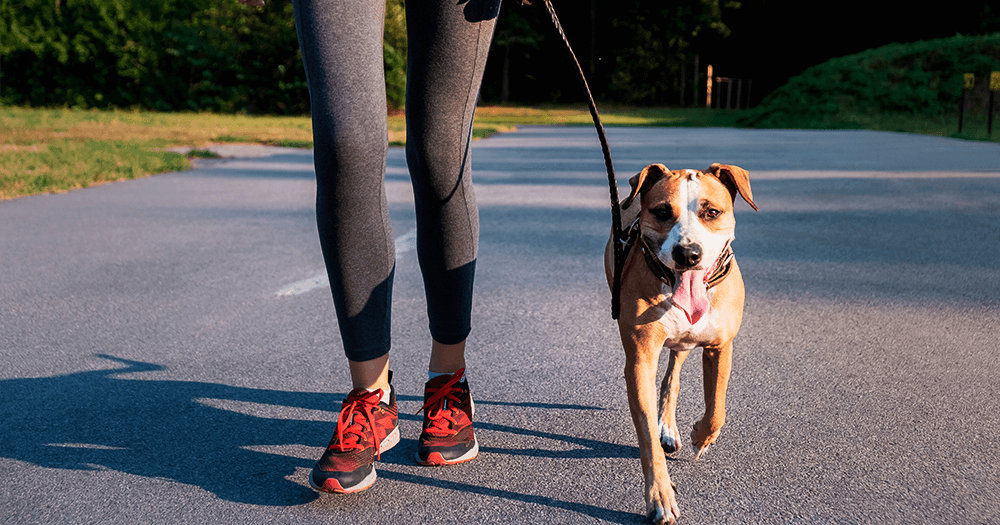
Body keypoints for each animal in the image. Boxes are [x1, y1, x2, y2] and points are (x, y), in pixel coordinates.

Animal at [600, 162, 756, 520]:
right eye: (661, 212)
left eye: (711, 212)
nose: (687, 254)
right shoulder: (640, 360)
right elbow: (647, 439)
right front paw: (660, 497)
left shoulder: (720, 347)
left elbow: (717, 408)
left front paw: (701, 438)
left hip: (685, 345)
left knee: (673, 377)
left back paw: (670, 427)